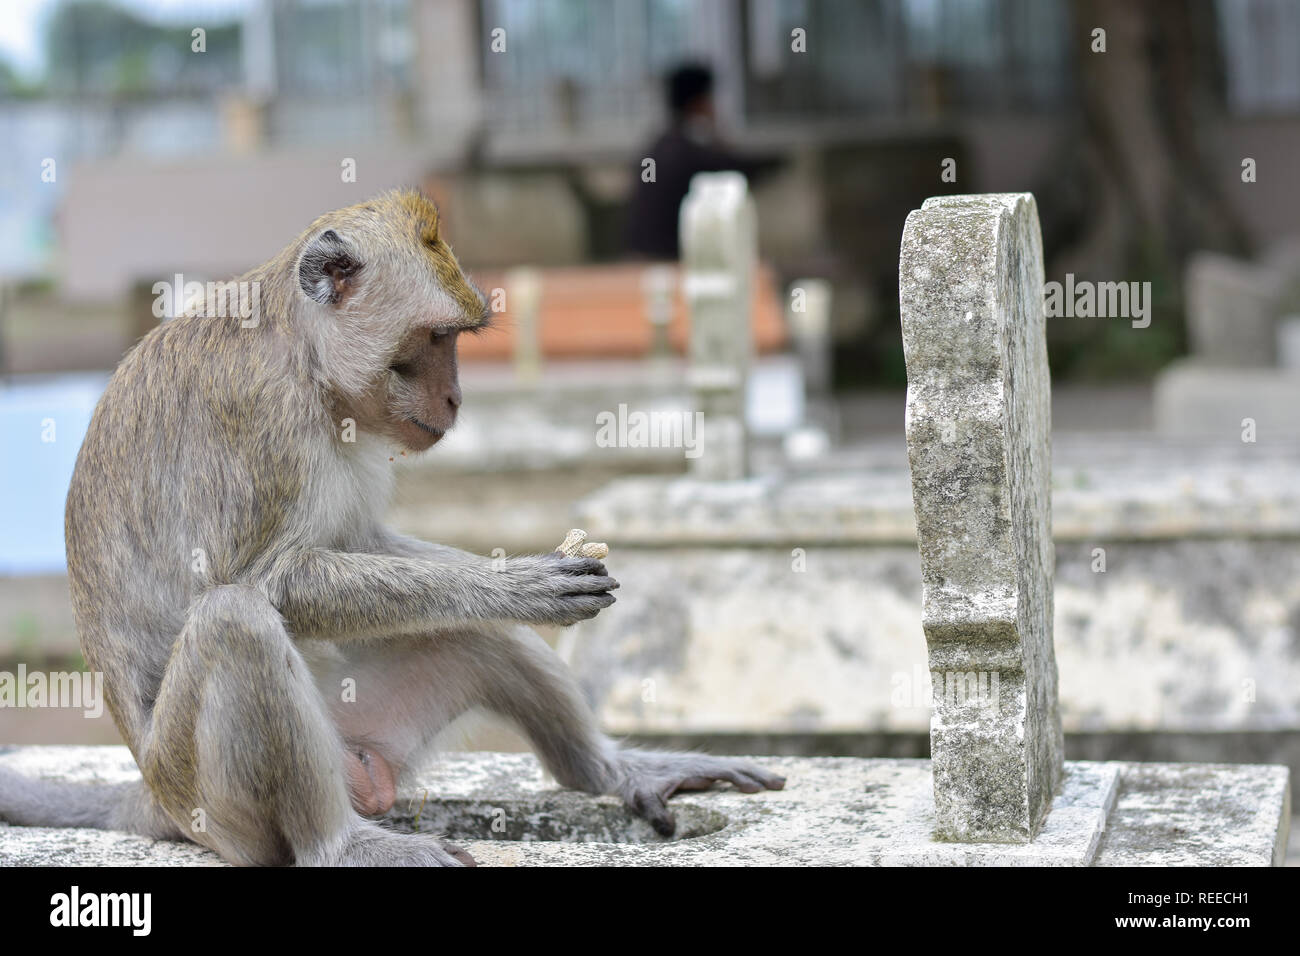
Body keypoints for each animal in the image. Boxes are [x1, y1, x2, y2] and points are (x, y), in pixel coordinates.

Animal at [0, 187, 780, 868]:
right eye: (436, 337)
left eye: (459, 338)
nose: (457, 397)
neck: (305, 358)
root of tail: (152, 795)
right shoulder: (262, 420)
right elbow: (269, 580)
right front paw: (517, 584)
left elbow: (360, 547)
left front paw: (497, 574)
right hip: (209, 804)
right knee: (235, 622)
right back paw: (342, 845)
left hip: (368, 725)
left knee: (467, 632)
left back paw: (609, 769)